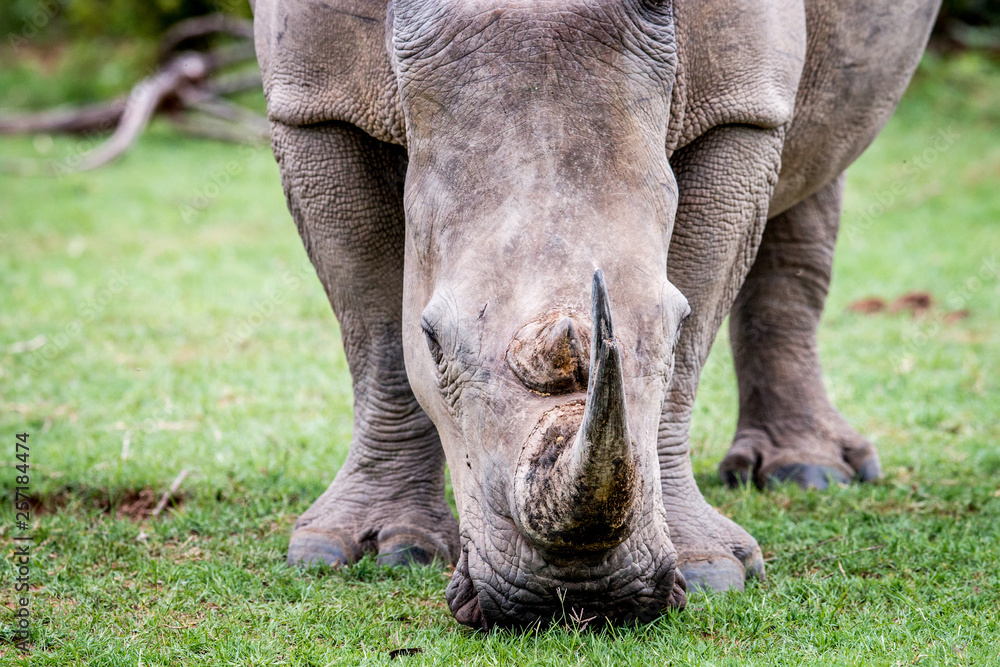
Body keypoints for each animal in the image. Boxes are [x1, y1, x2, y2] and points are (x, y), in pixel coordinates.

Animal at [250, 0, 941, 628]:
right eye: (435, 342)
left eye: (674, 326)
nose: (576, 599)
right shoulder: (315, 102)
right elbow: (375, 332)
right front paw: (360, 550)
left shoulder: (740, 108)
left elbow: (689, 342)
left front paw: (708, 567)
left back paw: (811, 475)